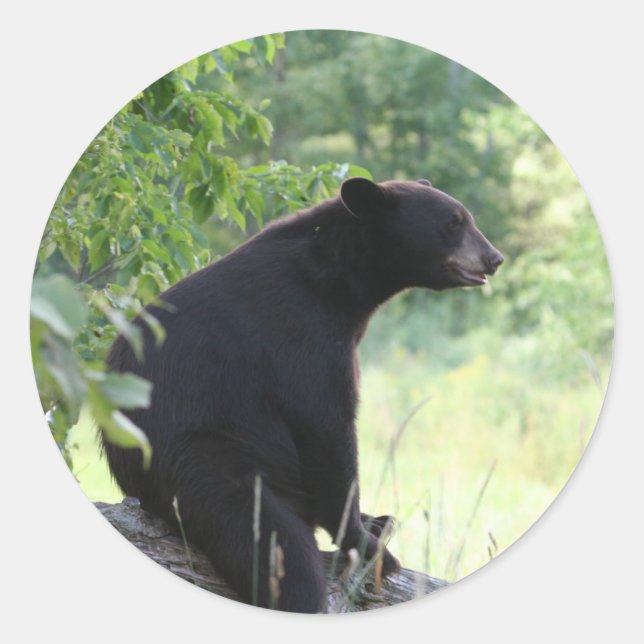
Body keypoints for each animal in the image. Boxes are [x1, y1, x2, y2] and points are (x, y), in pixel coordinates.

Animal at [103, 177, 503, 613]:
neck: (340, 280)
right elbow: (326, 430)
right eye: (452, 223)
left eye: (466, 218)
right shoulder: (301, 335)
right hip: (203, 460)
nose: (494, 258)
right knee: (281, 556)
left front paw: (373, 520)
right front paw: (366, 543)